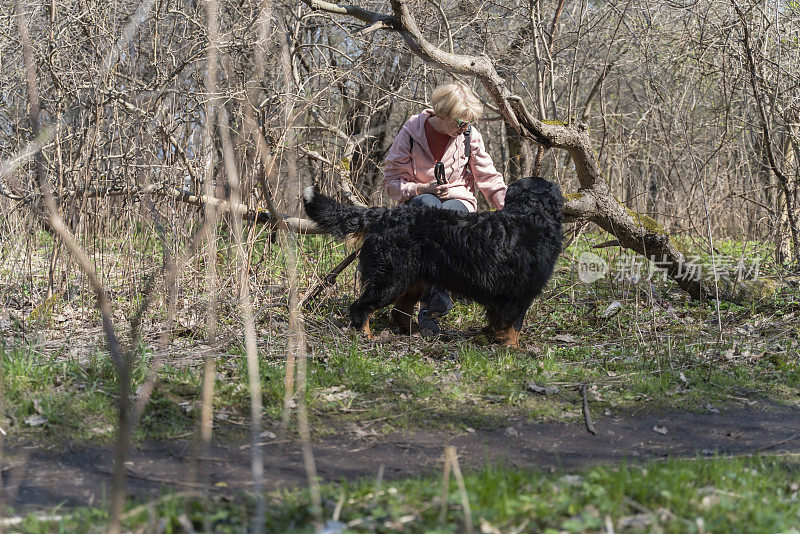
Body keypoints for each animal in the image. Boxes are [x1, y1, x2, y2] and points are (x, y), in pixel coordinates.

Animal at [302, 177, 564, 348]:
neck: (531, 213)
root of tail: (383, 214)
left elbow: (499, 321)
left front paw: (493, 337)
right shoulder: (521, 293)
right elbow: (514, 326)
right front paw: (511, 348)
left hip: (413, 281)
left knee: (400, 311)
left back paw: (414, 333)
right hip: (391, 280)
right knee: (361, 308)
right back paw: (367, 337)